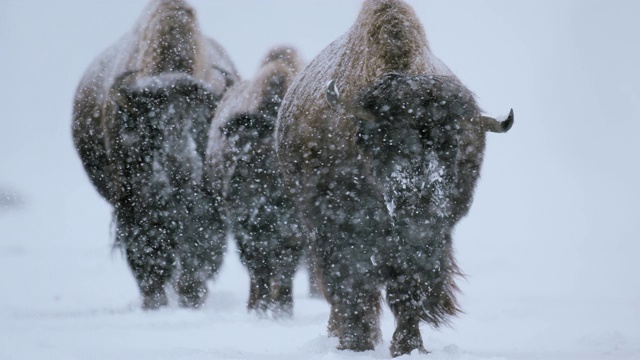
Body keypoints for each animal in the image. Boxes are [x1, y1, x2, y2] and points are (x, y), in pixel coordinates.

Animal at [70, 0, 240, 310]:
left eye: (200, 121)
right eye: (152, 123)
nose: (180, 168)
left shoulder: (207, 205)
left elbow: (201, 247)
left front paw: (191, 296)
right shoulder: (135, 204)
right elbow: (149, 251)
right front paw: (156, 300)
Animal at [206, 46, 304, 316]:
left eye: (260, 156)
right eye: (230, 152)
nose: (231, 196)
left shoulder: (295, 229)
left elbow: (286, 266)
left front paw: (283, 310)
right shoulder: (248, 232)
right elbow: (259, 266)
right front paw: (261, 309)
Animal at [276, 0, 516, 354]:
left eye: (454, 145)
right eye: (387, 141)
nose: (420, 213)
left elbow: (408, 287)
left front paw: (408, 346)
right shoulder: (338, 226)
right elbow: (352, 283)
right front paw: (357, 343)